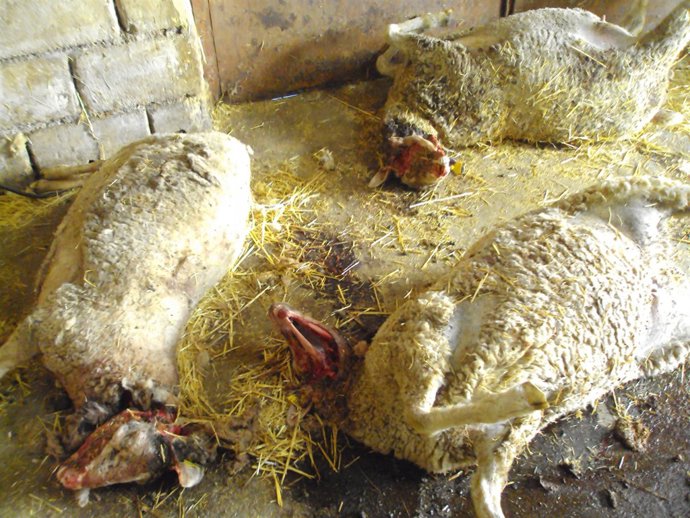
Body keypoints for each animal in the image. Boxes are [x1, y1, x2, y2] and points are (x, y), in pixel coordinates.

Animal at [0, 132, 252, 489]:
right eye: (123, 443)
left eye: (135, 475)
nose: (68, 479)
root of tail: (229, 141)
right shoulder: (44, 323)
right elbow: (2, 360)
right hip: (141, 146)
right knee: (97, 163)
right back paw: (43, 181)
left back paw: (44, 182)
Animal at [269, 175, 690, 518]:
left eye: (298, 359)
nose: (277, 310)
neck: (364, 399)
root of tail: (657, 261)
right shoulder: (490, 437)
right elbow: (478, 481)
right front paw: (523, 396)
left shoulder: (422, 332)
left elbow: (420, 414)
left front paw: (523, 394)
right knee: (483, 486)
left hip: (629, 190)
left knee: (674, 191)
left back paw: (526, 395)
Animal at [372, 2, 690, 188]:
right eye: (412, 170)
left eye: (410, 153)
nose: (443, 167)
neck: (412, 104)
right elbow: (390, 38)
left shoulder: (430, 53)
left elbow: (387, 45)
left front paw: (436, 17)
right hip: (642, 58)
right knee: (670, 31)